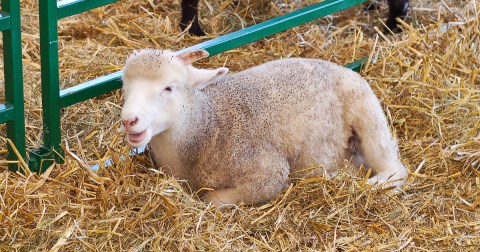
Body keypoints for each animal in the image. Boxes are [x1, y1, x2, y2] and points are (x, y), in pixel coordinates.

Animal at [120, 49, 408, 207]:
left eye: (169, 88)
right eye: (125, 86)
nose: (129, 120)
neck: (206, 126)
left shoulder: (268, 173)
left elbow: (212, 200)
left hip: (367, 112)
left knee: (395, 170)